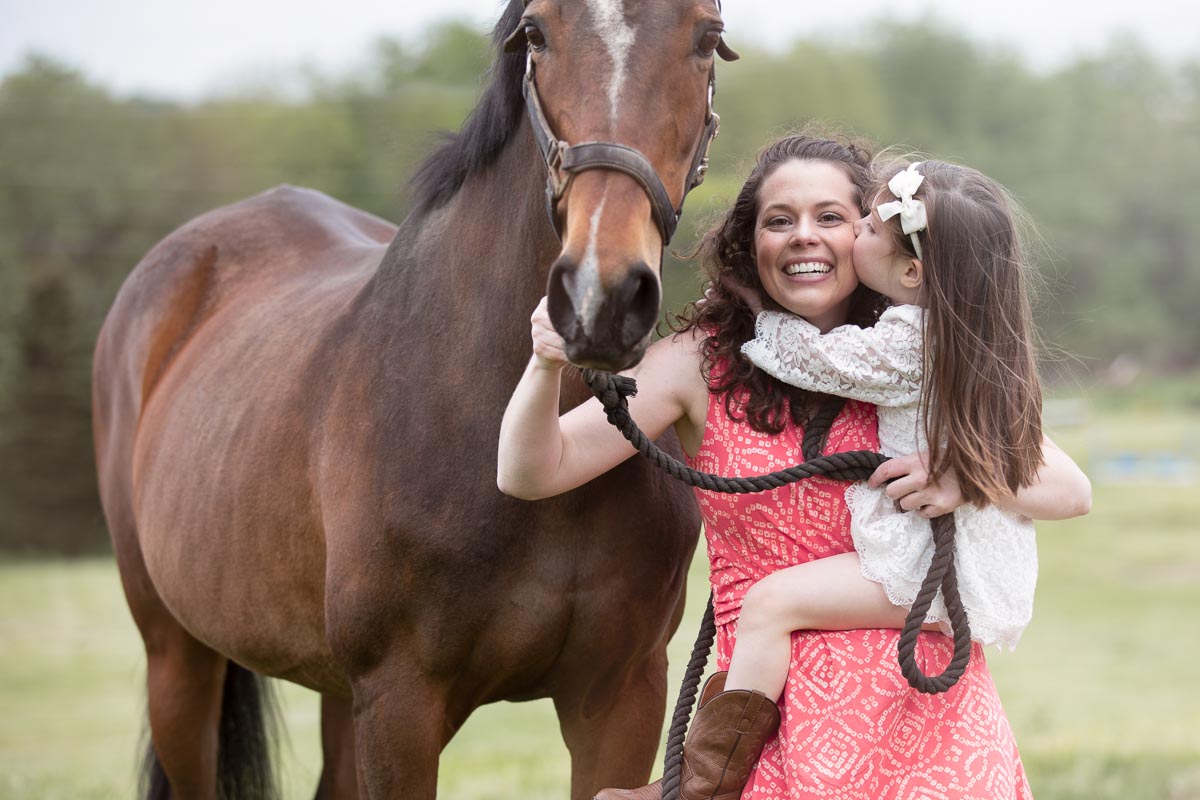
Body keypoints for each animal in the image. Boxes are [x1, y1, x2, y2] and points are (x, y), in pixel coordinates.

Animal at [88, 3, 734, 796]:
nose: (598, 298)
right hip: (178, 659)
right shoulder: (399, 703)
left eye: (707, 35)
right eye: (537, 33)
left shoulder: (619, 696)